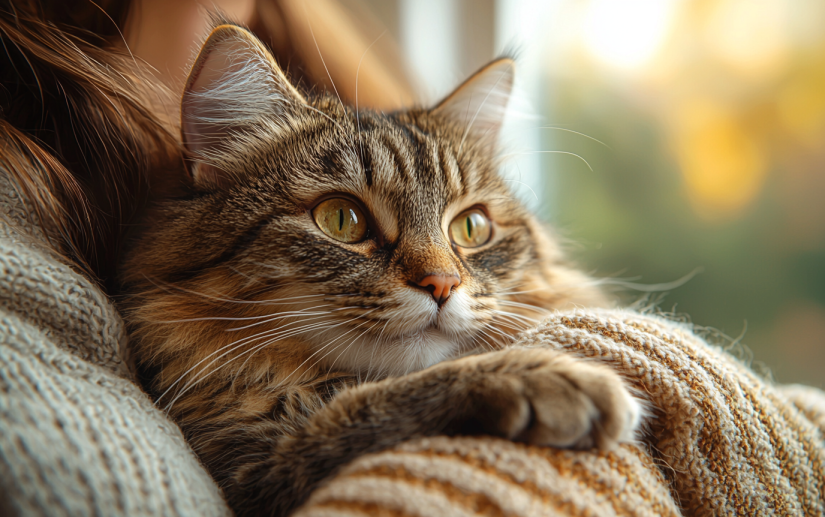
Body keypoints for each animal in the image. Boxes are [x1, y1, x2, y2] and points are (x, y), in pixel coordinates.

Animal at [117, 21, 644, 516]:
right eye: (341, 220)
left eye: (471, 227)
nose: (442, 283)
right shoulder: (255, 474)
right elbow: (376, 403)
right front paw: (543, 375)